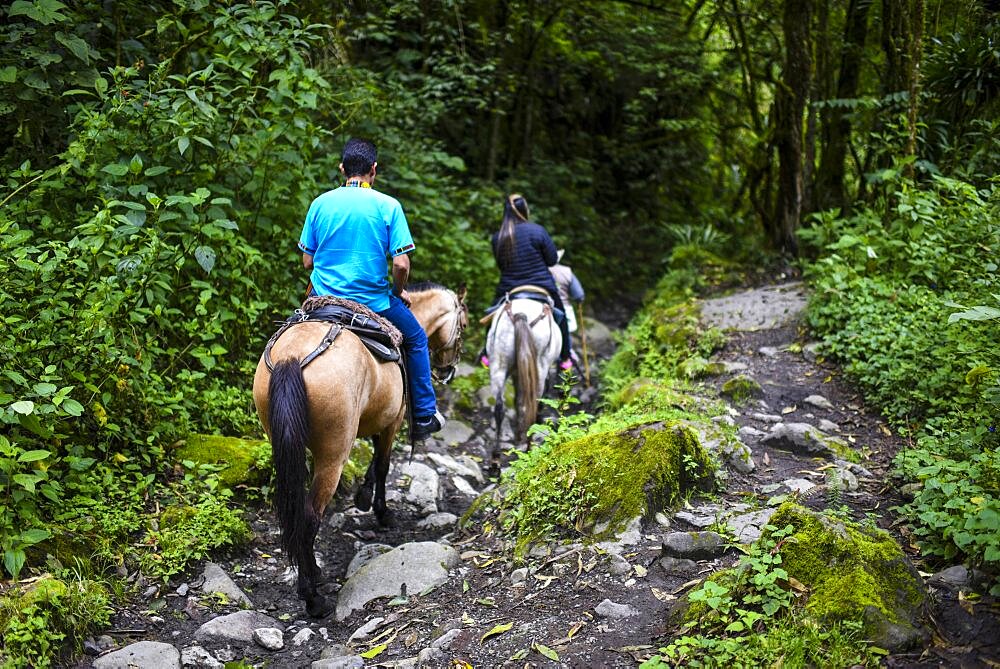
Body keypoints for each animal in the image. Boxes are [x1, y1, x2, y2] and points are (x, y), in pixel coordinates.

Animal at [252, 282, 466, 616]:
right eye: (463, 325)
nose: (449, 370)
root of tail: (291, 356)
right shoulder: (393, 421)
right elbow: (383, 464)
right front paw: (381, 511)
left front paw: (363, 497)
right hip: (334, 454)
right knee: (310, 517)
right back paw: (313, 599)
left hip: (285, 445)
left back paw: (313, 573)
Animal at [484, 294, 564, 454]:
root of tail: (521, 315)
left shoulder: (517, 374)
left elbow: (518, 400)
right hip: (539, 368)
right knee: (533, 405)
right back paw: (529, 448)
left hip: (499, 365)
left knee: (499, 407)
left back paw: (496, 456)